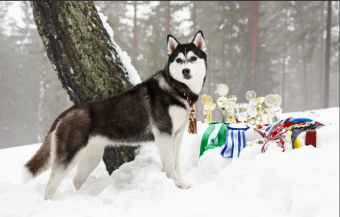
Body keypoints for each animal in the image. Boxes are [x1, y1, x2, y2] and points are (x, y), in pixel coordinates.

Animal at [23, 31, 207, 200]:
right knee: (49, 187)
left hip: (92, 157)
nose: (185, 71)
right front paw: (175, 184)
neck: (177, 89)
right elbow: (169, 164)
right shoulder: (164, 134)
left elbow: (177, 163)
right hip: (68, 156)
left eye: (193, 58)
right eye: (179, 60)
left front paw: (182, 182)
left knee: (76, 180)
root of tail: (65, 113)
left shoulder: (176, 135)